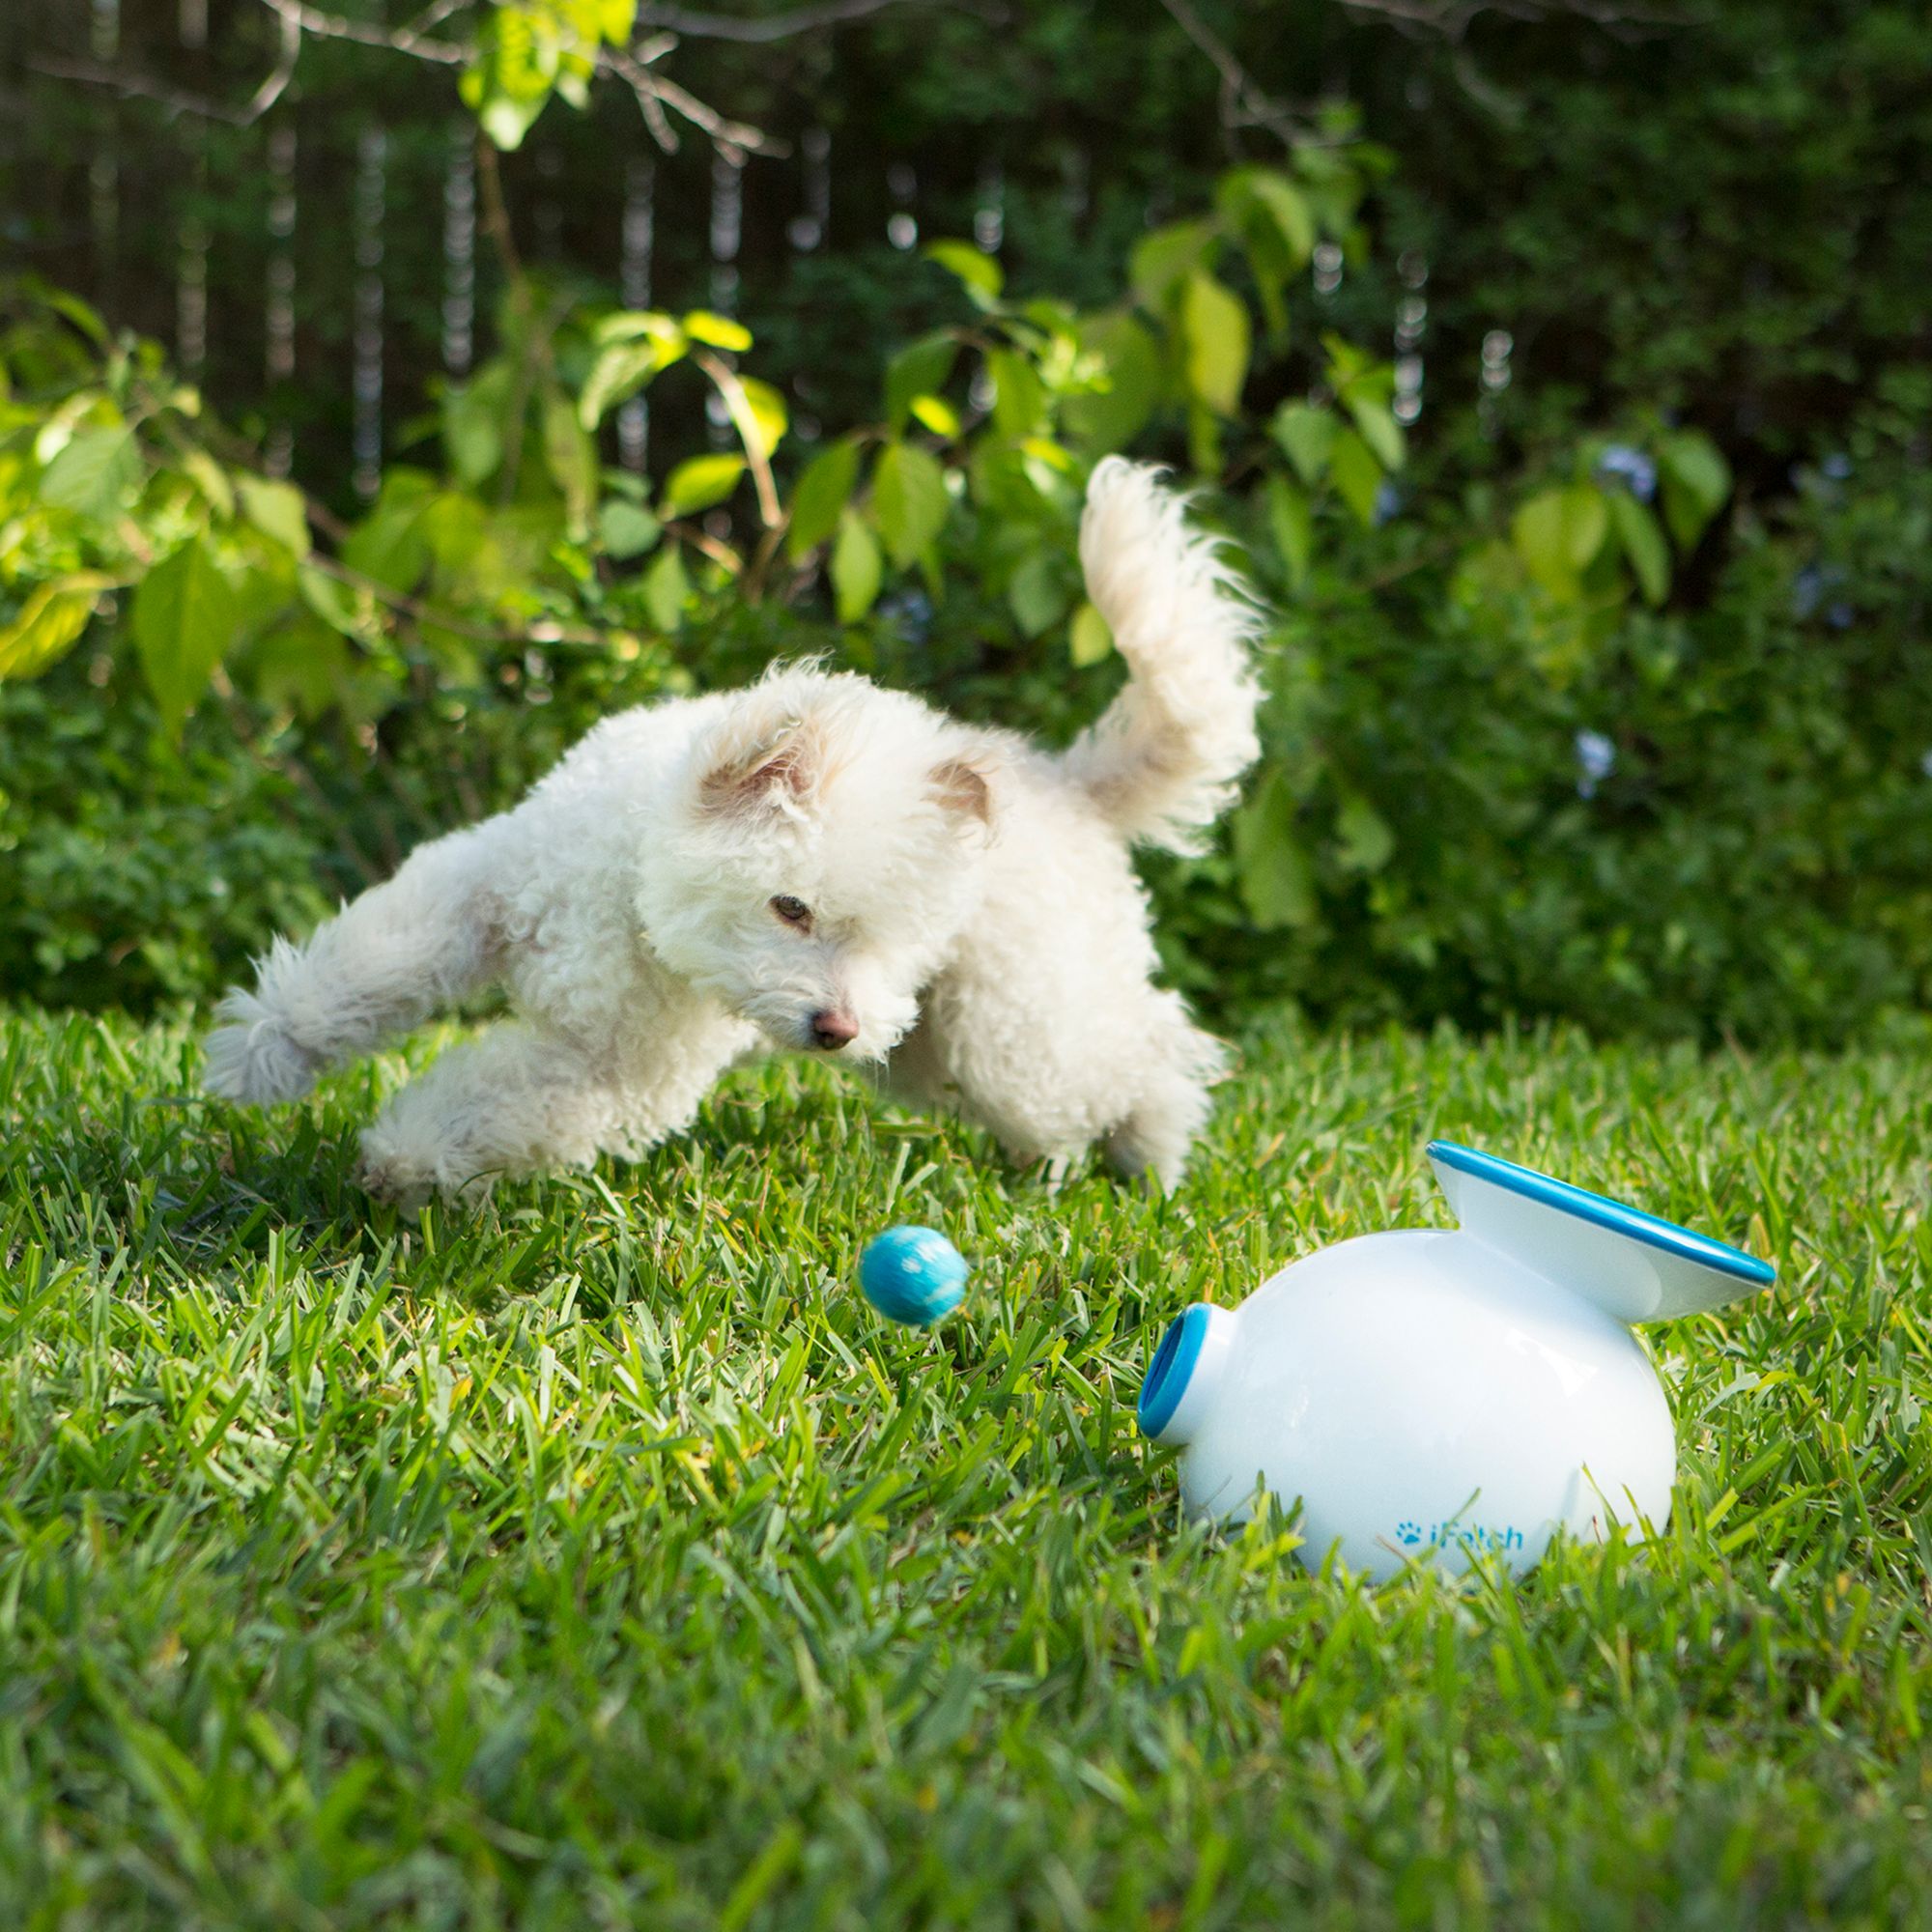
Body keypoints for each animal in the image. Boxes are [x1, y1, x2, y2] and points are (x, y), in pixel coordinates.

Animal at [204, 460, 1260, 1198]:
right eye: (791, 907)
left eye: (892, 937)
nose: (836, 1029)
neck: (627, 900)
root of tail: (1067, 785)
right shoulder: (475, 894)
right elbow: (364, 969)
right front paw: (263, 1047)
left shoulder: (611, 1072)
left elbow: (493, 1099)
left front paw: (406, 1157)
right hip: (933, 1051)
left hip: (1010, 1036)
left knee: (1144, 1050)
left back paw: (1152, 1152)